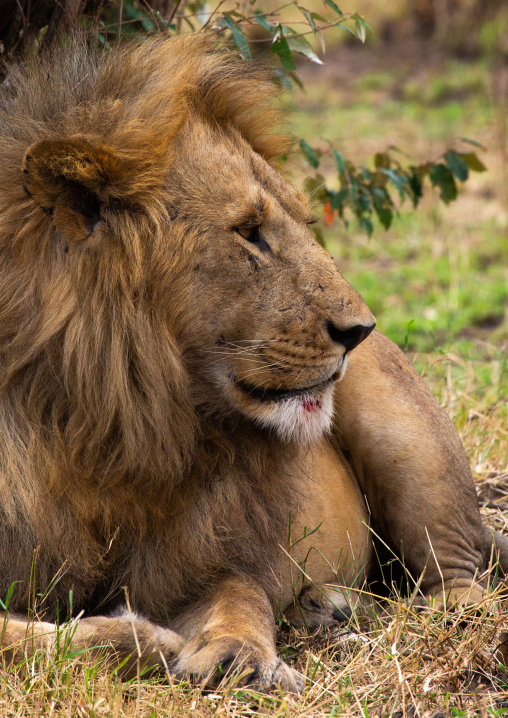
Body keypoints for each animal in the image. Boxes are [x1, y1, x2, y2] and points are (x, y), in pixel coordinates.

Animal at [0, 34, 506, 692]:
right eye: (249, 231)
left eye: (303, 223)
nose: (360, 330)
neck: (113, 423)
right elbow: (19, 639)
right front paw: (134, 639)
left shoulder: (208, 551)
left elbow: (240, 594)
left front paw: (239, 655)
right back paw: (324, 607)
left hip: (411, 442)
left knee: (461, 579)